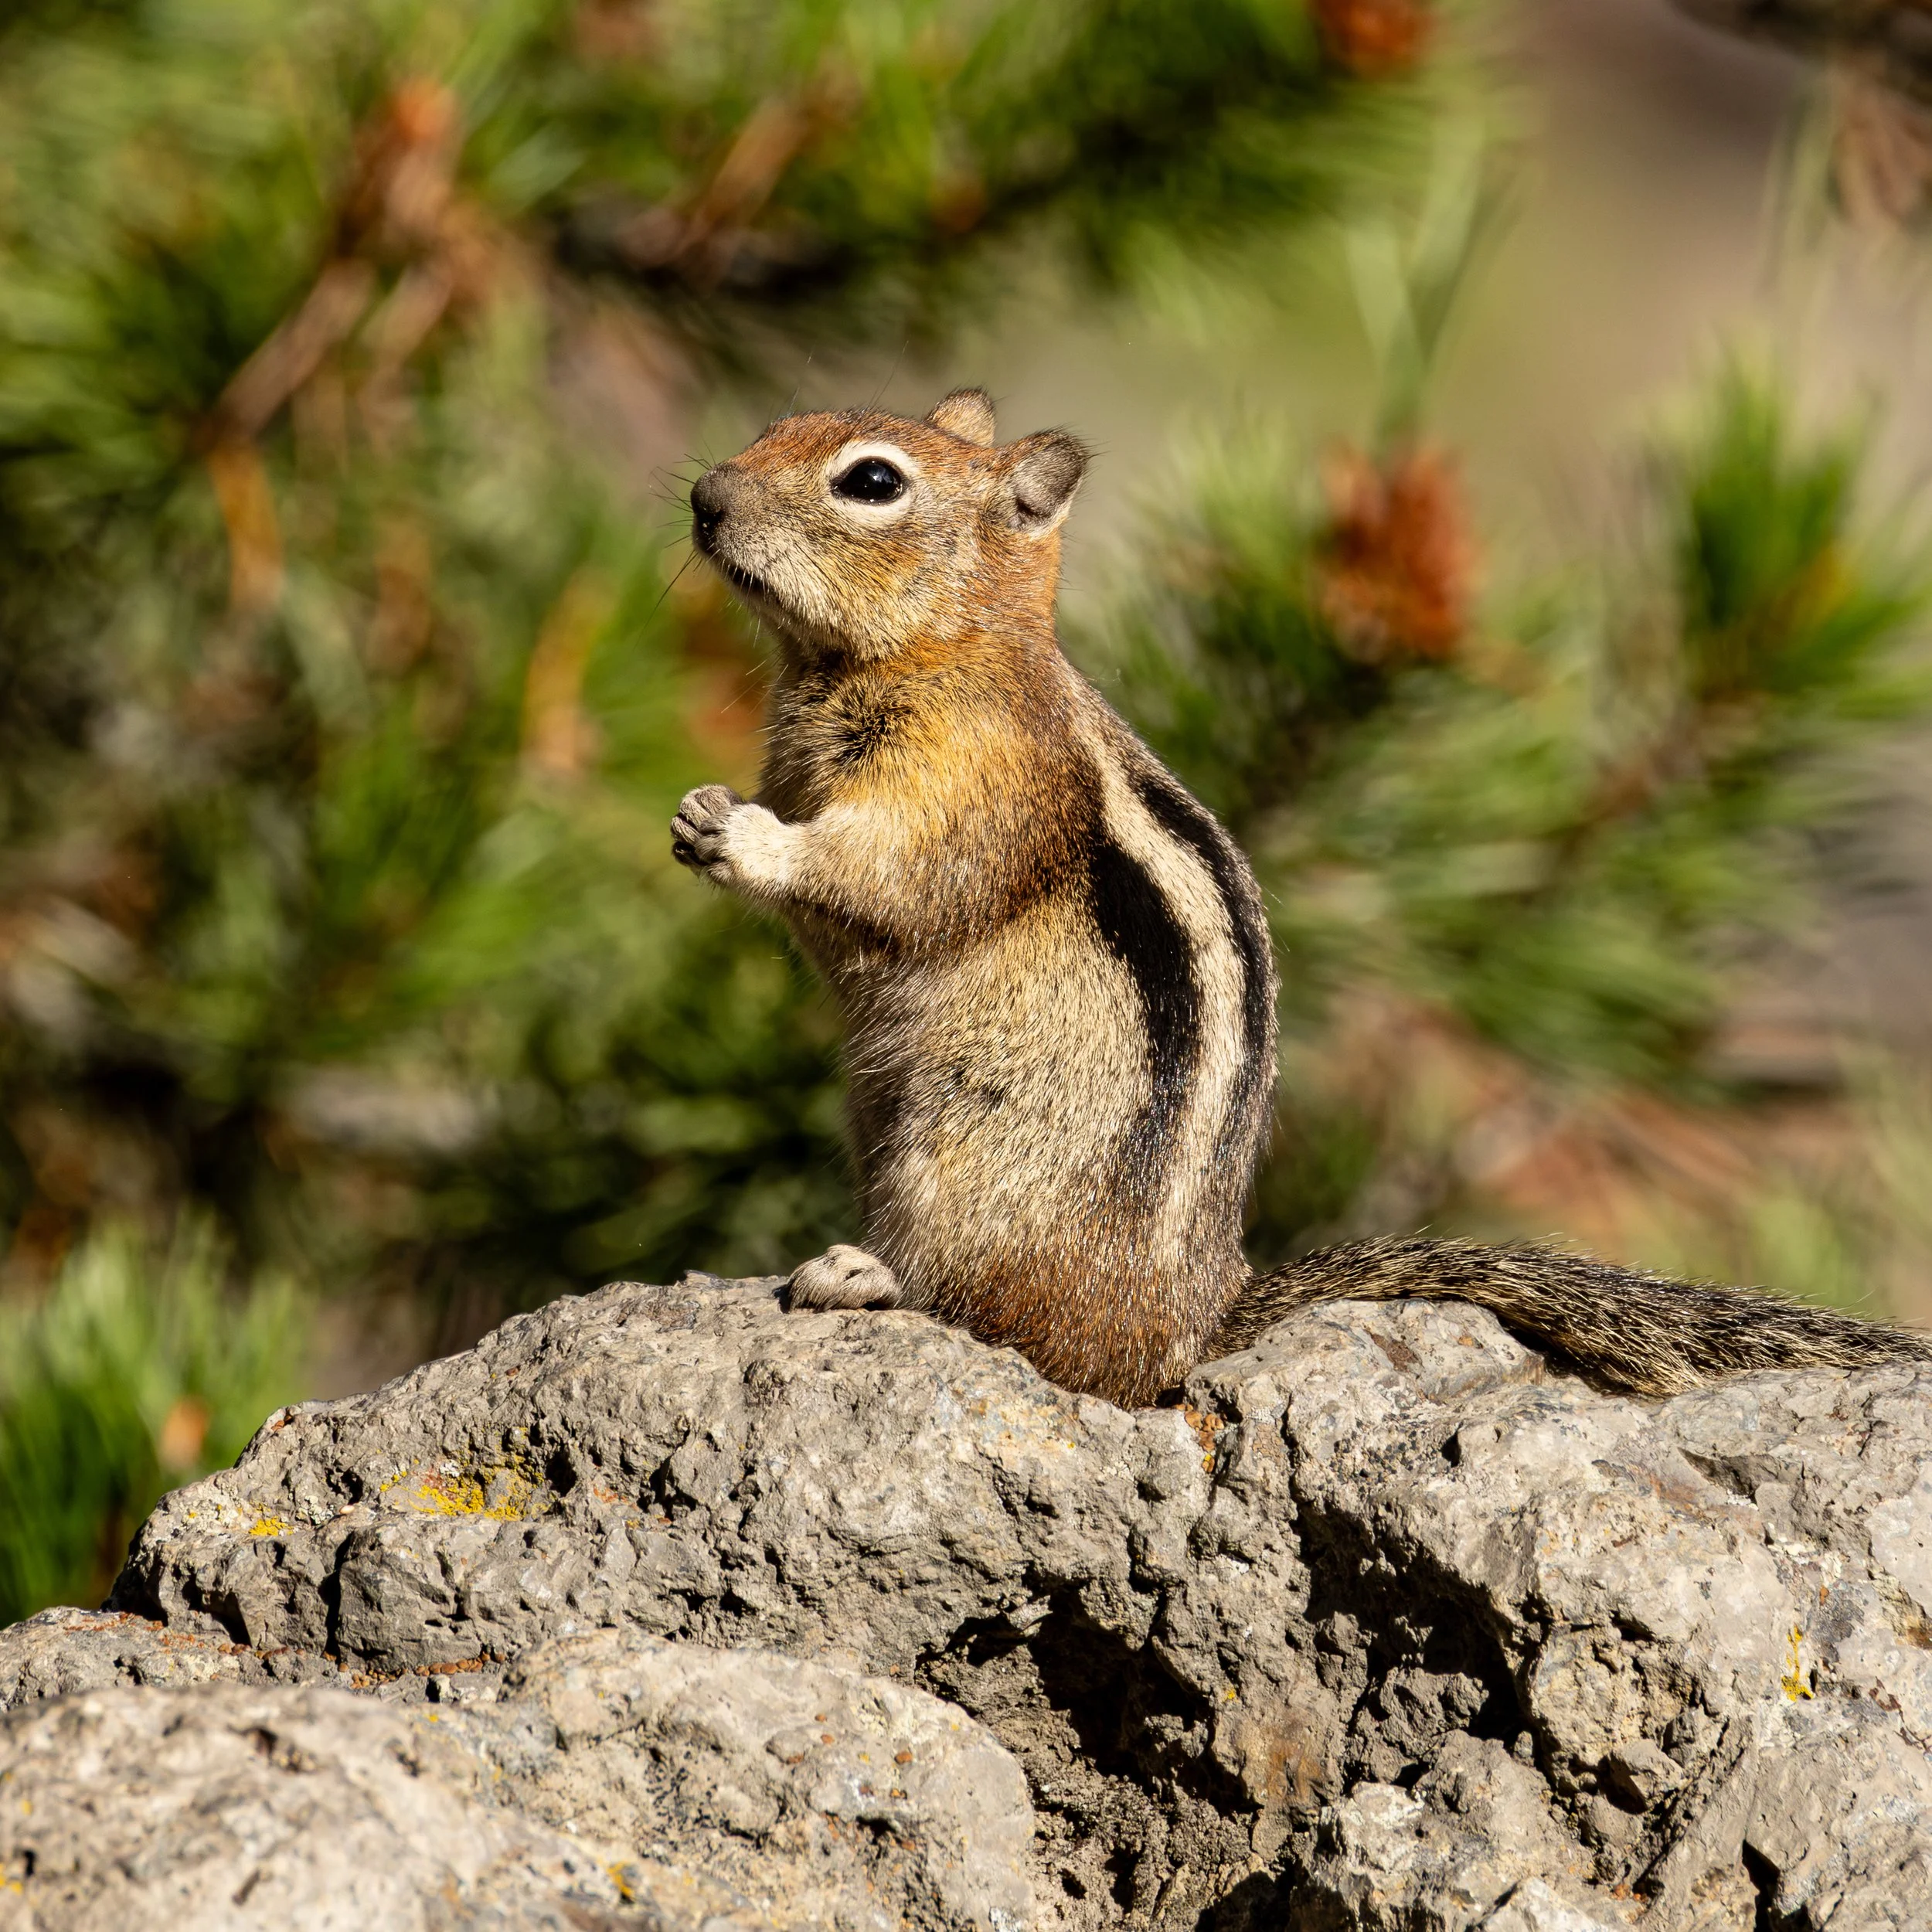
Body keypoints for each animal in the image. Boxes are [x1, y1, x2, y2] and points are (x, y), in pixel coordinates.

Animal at [671, 386, 1932, 1408]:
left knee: (993, 1316)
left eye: (872, 481)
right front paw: (700, 809)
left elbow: (896, 879)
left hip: (965, 1168)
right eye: (780, 423)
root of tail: (1192, 1329)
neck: (928, 652)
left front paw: (745, 836)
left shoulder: (977, 783)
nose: (702, 494)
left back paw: (860, 1275)